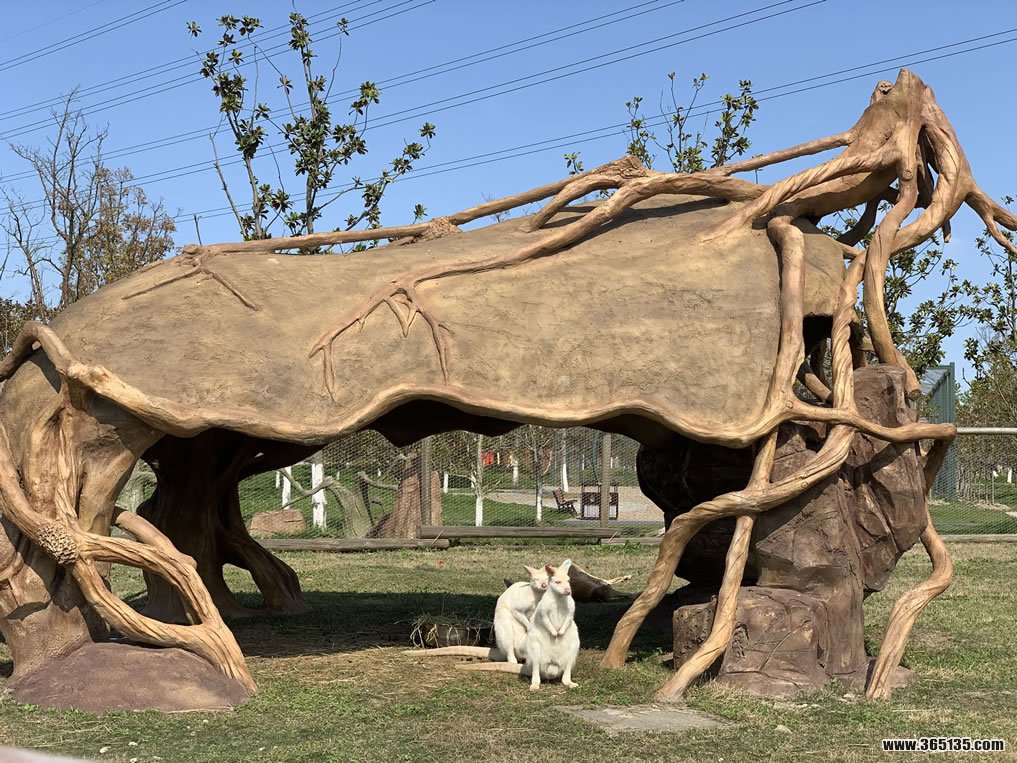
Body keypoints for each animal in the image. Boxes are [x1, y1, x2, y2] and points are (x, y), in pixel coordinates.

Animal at [458, 559, 580, 691]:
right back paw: (528, 678)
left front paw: (558, 632)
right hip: (514, 631)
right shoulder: (528, 608)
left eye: (569, 581)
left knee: (566, 669)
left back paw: (570, 683)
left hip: (573, 647)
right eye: (557, 582)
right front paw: (546, 630)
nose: (568, 591)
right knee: (518, 653)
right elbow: (527, 615)